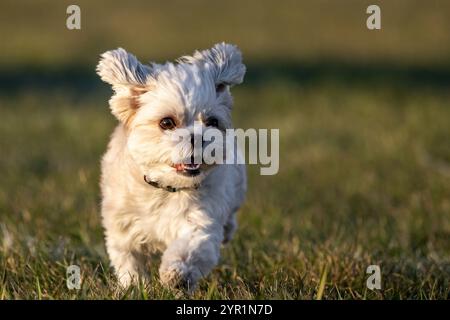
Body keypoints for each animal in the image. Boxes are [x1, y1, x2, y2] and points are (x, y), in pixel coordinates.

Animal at [96, 42, 248, 290]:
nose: (198, 137)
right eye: (166, 122)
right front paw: (134, 285)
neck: (165, 189)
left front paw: (176, 274)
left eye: (212, 122)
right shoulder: (123, 224)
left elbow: (190, 246)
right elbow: (128, 257)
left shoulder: (201, 217)